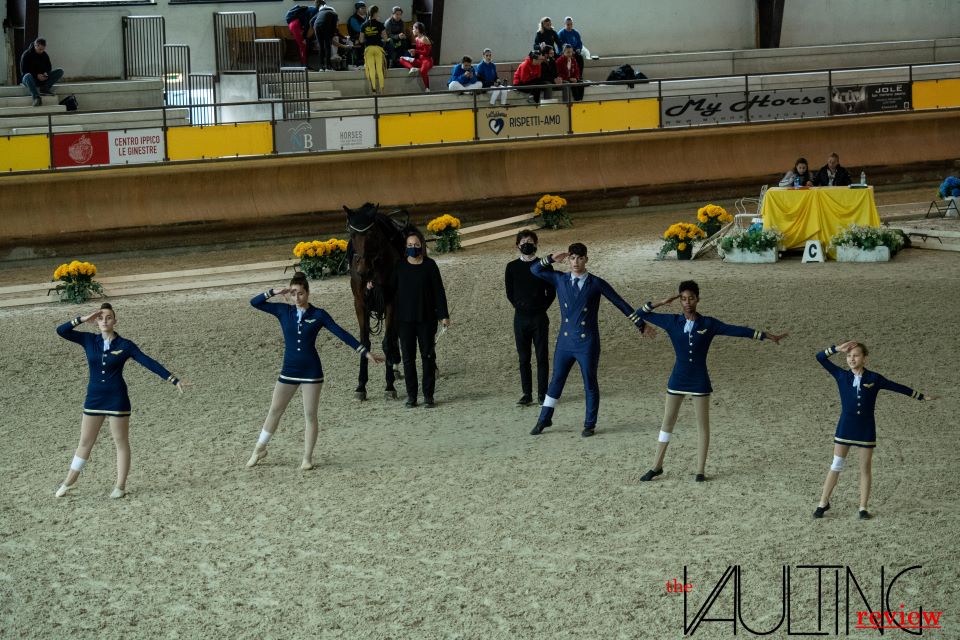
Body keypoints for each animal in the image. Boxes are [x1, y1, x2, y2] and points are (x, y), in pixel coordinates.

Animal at [344, 202, 412, 400]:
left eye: (372, 233)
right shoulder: (360, 304)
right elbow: (364, 343)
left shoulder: (391, 302)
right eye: (352, 234)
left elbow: (388, 342)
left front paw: (389, 386)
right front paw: (361, 386)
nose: (363, 270)